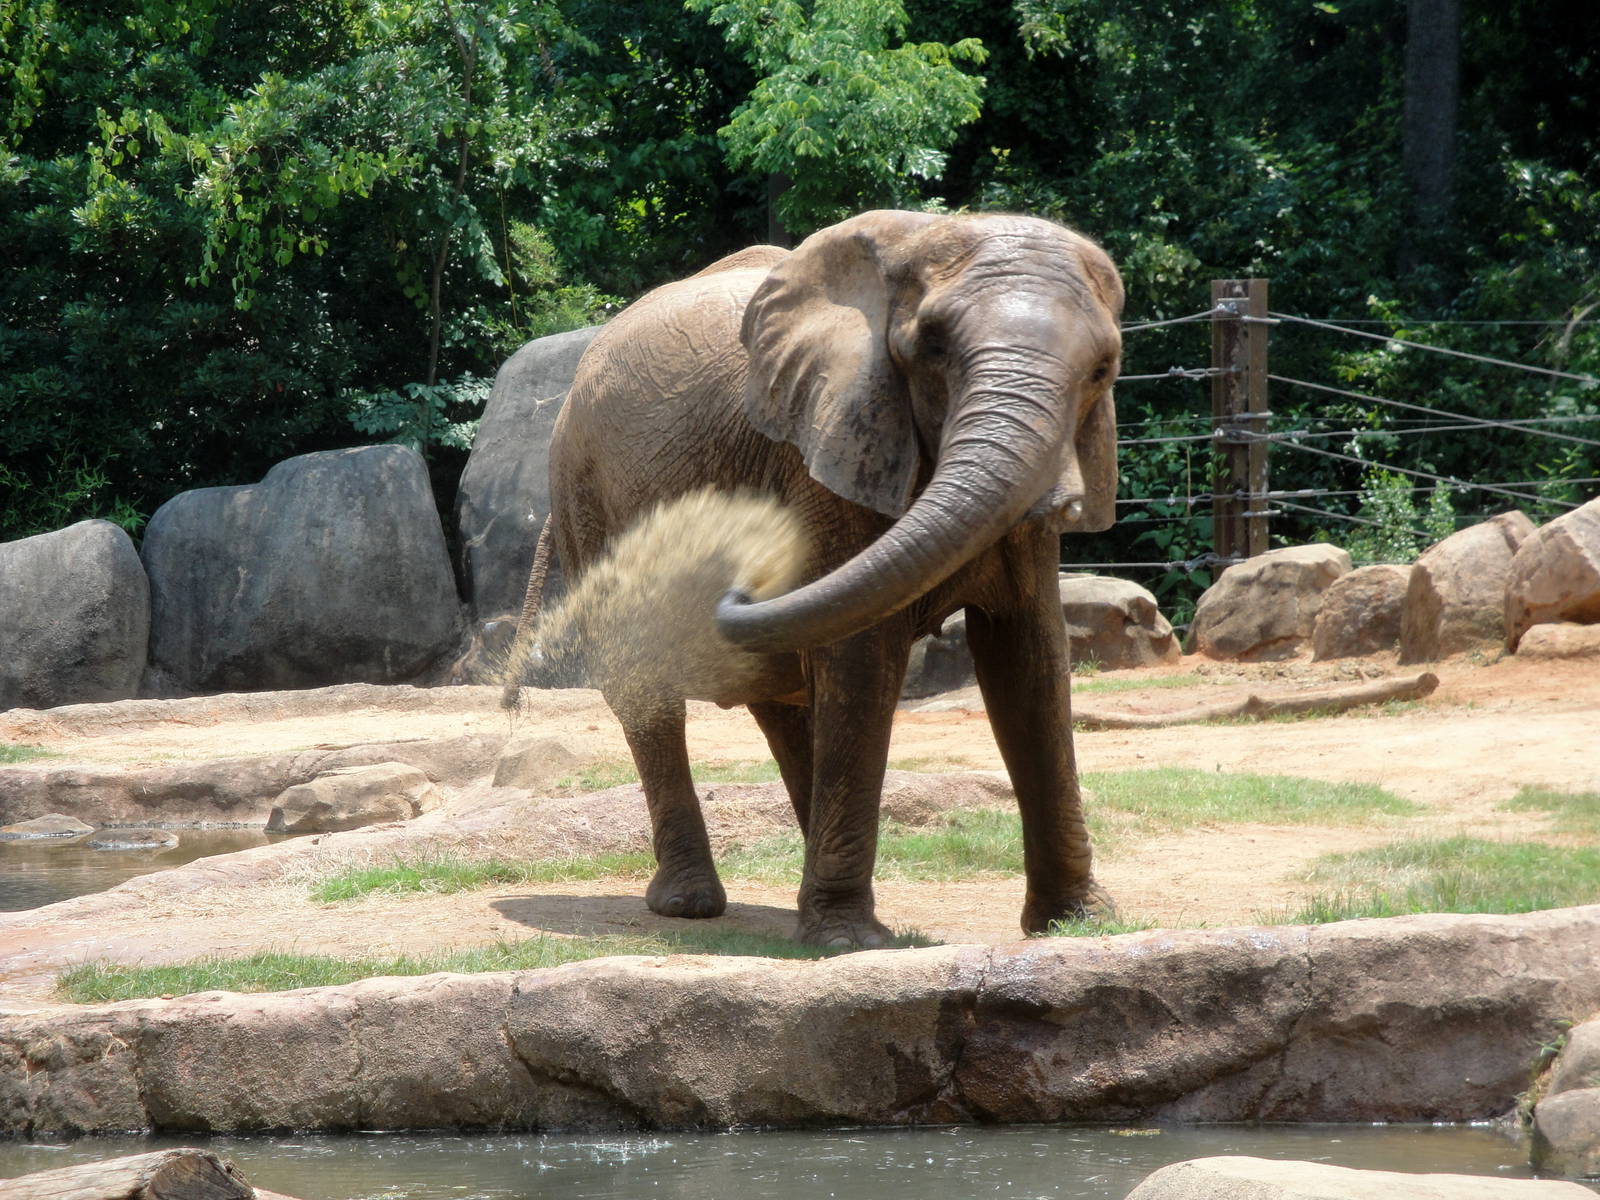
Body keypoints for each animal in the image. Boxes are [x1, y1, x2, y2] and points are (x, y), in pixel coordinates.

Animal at [508, 209, 1123, 948]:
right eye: (932, 346)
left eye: (1103, 369)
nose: (750, 563)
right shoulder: (828, 452)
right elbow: (862, 656)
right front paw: (847, 944)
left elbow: (1027, 658)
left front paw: (1080, 925)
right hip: (582, 489)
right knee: (648, 682)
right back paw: (691, 905)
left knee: (777, 689)